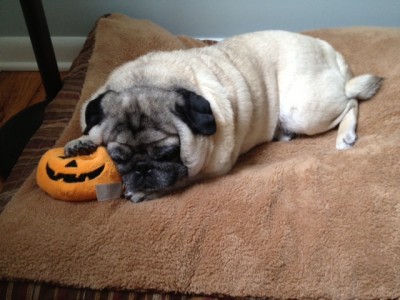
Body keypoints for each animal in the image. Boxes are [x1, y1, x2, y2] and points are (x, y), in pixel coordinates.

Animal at [64, 30, 382, 203]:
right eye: (117, 158)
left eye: (167, 153)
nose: (142, 169)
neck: (150, 79)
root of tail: (330, 51)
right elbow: (89, 130)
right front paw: (80, 143)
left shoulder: (212, 170)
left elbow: (179, 181)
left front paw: (146, 193)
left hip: (302, 110)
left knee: (351, 101)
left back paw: (345, 135)